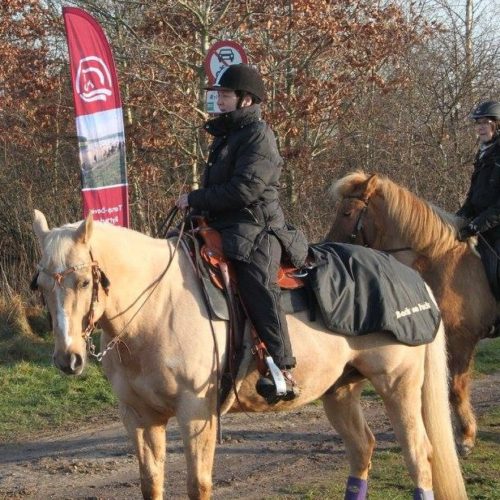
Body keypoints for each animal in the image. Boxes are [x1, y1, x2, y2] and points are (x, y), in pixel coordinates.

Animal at [31, 209, 467, 500]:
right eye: (42, 285)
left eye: (83, 281)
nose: (68, 359)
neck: (157, 306)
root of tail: (413, 279)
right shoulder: (139, 417)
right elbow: (150, 483)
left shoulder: (196, 413)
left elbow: (198, 485)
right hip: (340, 391)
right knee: (363, 449)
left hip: (399, 385)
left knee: (418, 453)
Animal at [326, 171, 498, 457]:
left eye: (347, 212)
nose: (325, 246)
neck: (436, 260)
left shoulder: (461, 340)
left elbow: (456, 388)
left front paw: (465, 438)